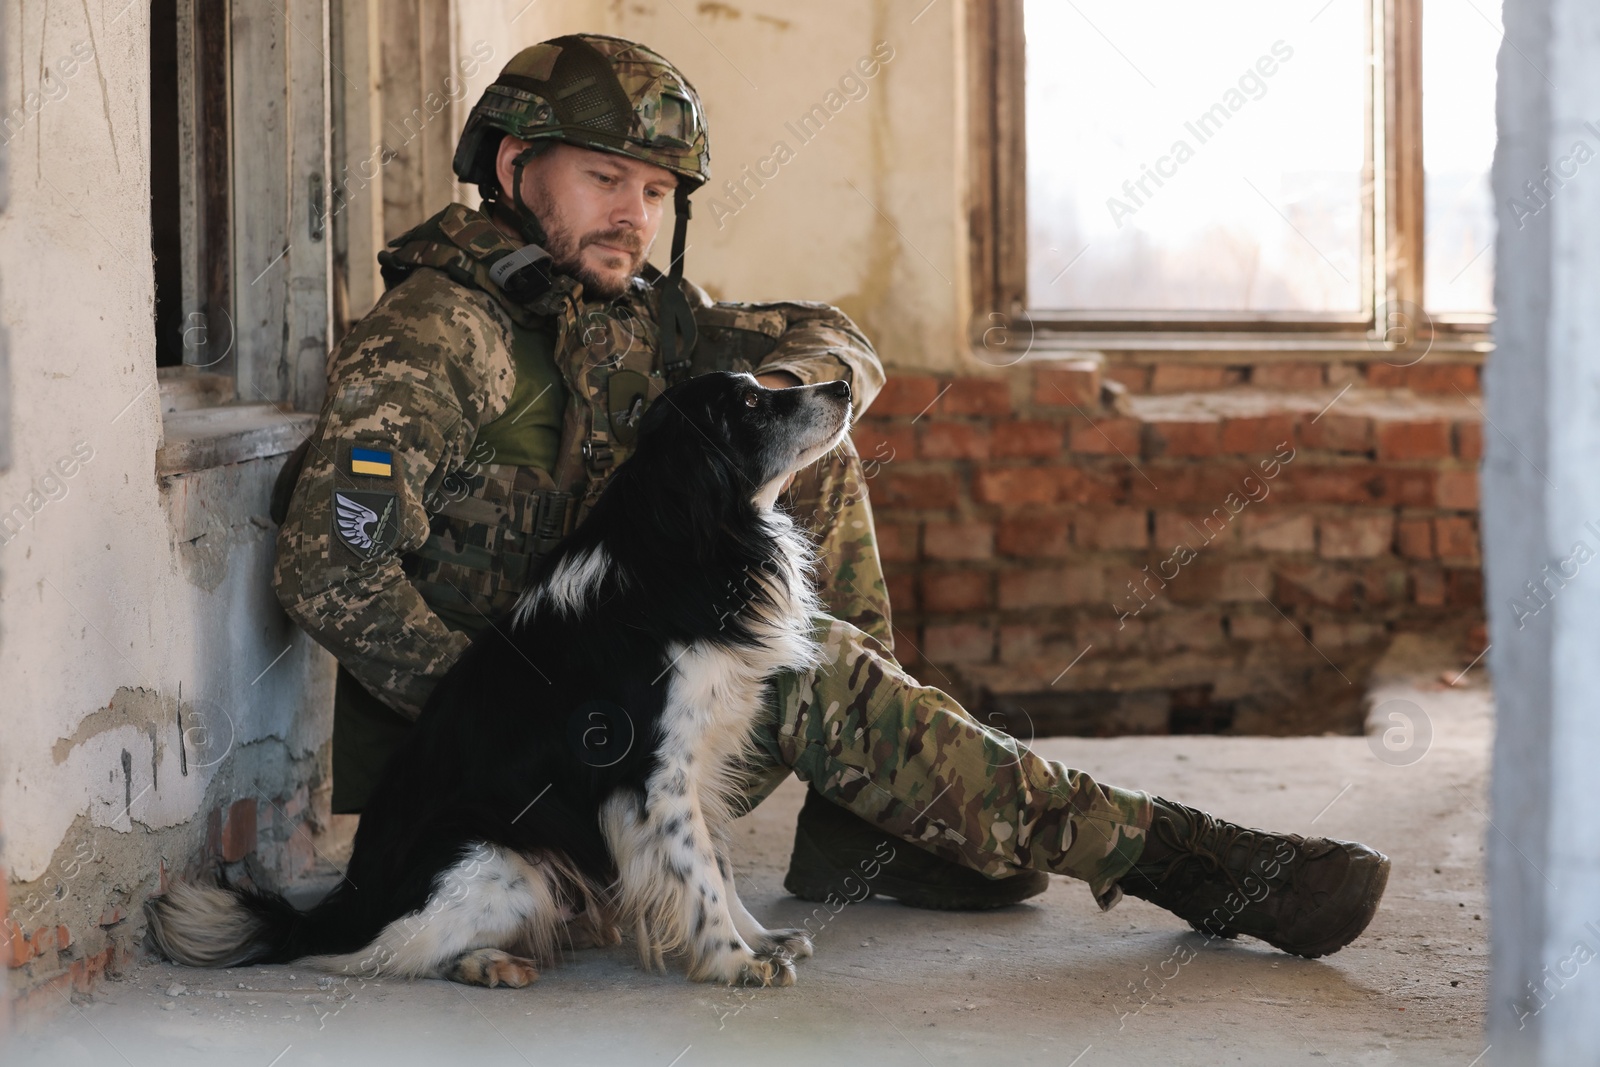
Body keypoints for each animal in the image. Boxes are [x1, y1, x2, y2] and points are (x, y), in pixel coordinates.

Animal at [144, 374, 857, 991]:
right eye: (751, 404)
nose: (844, 384)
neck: (692, 543)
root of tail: (338, 906)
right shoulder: (655, 774)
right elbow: (701, 873)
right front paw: (735, 962)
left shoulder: (699, 761)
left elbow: (722, 865)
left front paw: (759, 939)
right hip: (500, 859)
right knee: (387, 953)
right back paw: (488, 964)